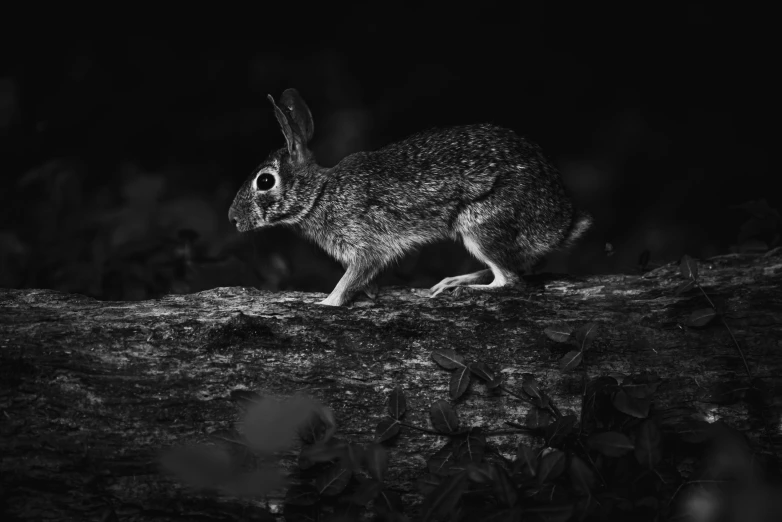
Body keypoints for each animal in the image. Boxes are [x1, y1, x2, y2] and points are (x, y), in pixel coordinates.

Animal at [230, 88, 592, 304]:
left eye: (265, 181)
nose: (233, 219)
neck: (319, 195)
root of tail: (561, 225)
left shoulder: (365, 246)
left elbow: (350, 279)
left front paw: (326, 302)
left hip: (482, 226)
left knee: (510, 280)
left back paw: (460, 287)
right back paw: (451, 281)